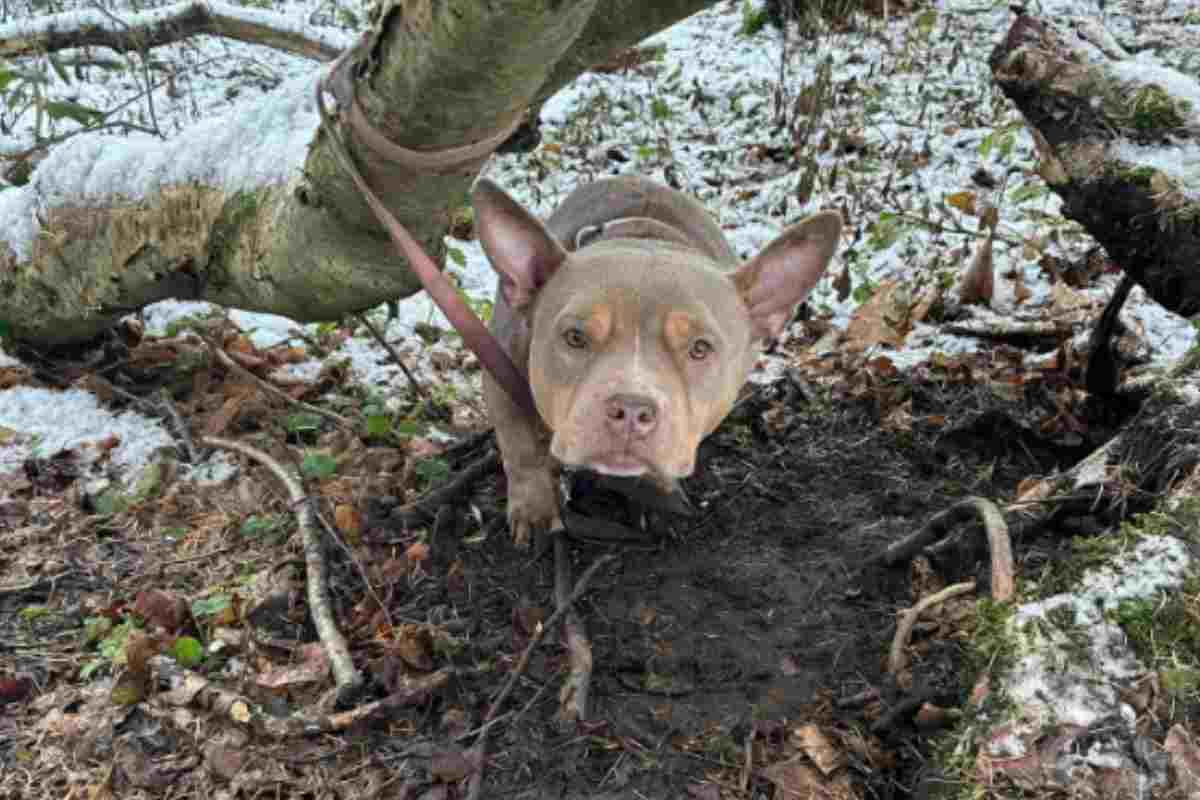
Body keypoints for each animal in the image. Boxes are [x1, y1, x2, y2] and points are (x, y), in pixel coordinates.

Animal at [470, 176, 844, 544]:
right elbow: (520, 446)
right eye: (575, 337)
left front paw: (656, 492)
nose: (631, 410)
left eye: (700, 348)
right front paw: (534, 509)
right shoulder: (498, 368)